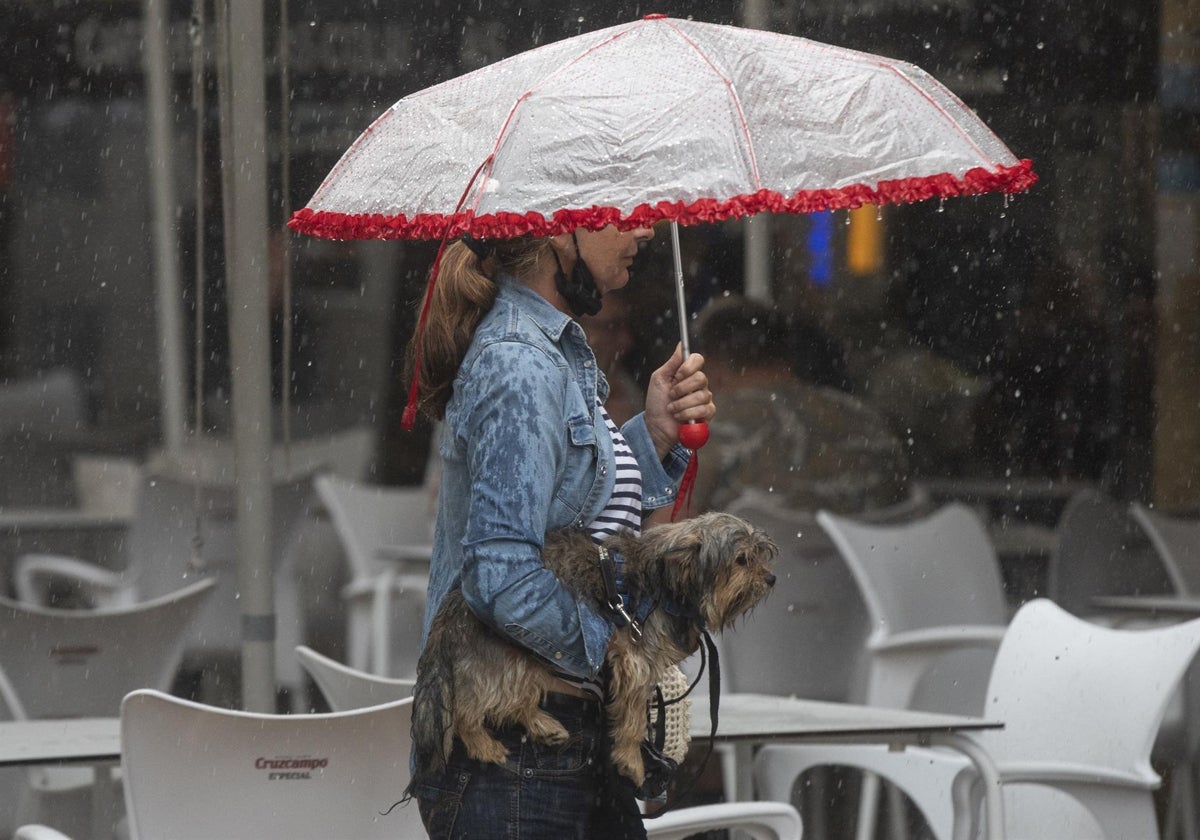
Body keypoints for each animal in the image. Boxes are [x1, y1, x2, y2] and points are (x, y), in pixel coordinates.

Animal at [408, 508, 772, 792]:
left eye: (760, 553)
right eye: (742, 560)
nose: (771, 579)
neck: (666, 581)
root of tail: (450, 610)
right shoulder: (636, 659)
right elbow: (634, 718)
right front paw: (631, 761)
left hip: (526, 656)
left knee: (517, 699)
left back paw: (545, 726)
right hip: (503, 656)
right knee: (468, 709)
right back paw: (484, 746)